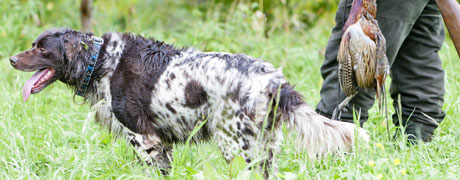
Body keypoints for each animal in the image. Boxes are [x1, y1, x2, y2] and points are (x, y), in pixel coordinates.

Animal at [9, 27, 370, 177]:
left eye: (41, 48)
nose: (11, 59)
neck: (103, 60)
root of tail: (270, 78)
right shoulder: (160, 144)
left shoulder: (143, 140)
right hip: (263, 147)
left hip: (237, 146)